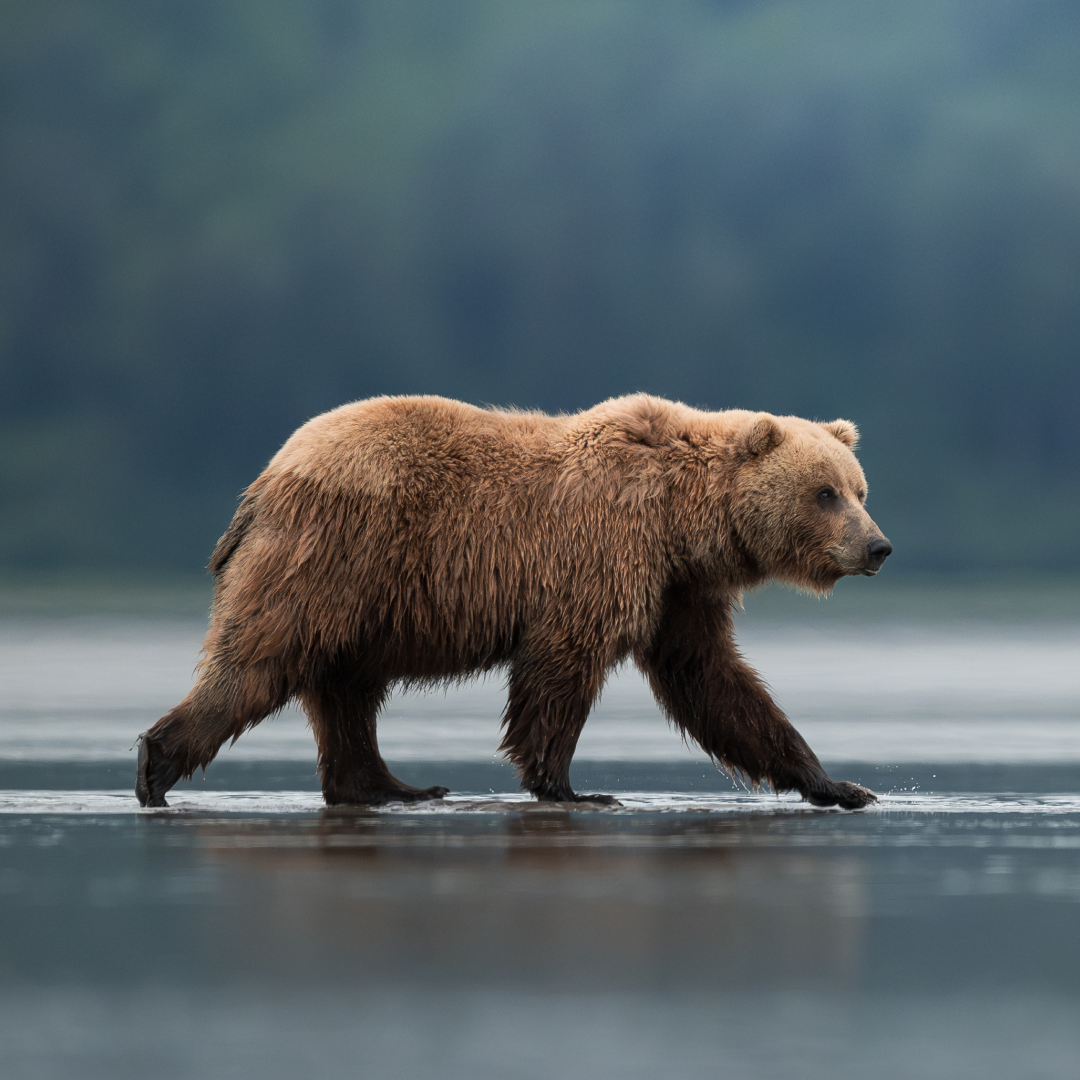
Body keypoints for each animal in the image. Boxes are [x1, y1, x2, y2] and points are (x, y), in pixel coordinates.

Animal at [136, 394, 891, 810]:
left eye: (859, 489)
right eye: (825, 492)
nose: (878, 546)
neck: (682, 522)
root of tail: (265, 479)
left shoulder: (679, 590)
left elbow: (715, 684)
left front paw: (838, 785)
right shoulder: (604, 550)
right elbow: (561, 668)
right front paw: (571, 786)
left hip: (362, 597)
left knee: (346, 689)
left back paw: (391, 785)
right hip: (334, 554)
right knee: (260, 658)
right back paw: (156, 765)